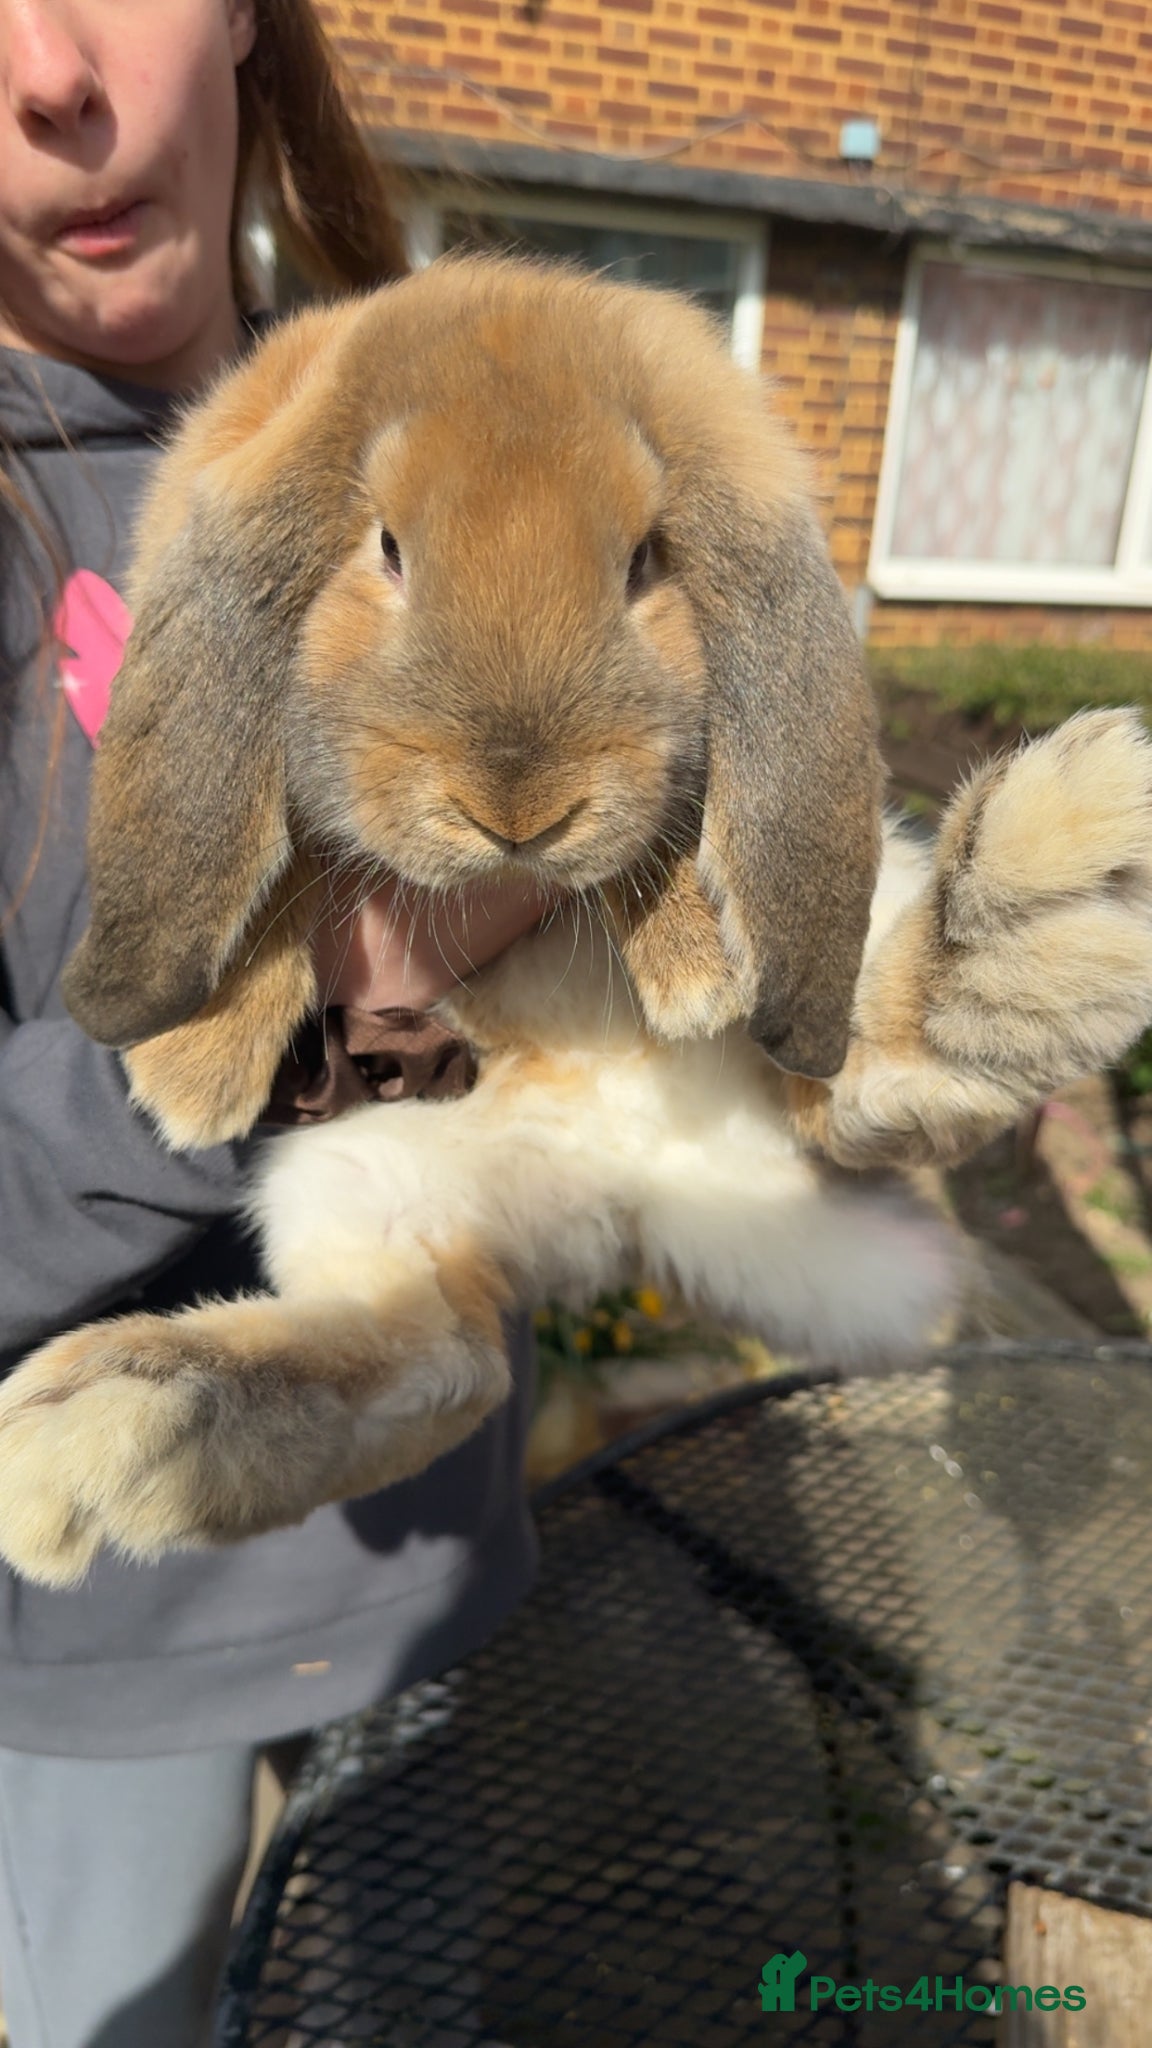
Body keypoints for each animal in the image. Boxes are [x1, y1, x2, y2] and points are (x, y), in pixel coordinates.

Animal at [3, 253, 1152, 1591]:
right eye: (386, 549)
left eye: (647, 560)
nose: (520, 808)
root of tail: (635, 1183)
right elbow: (293, 860)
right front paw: (191, 1070)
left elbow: (671, 833)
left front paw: (694, 958)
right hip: (362, 1175)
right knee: (436, 1359)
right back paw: (113, 1428)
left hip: (862, 927)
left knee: (866, 1088)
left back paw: (1039, 900)